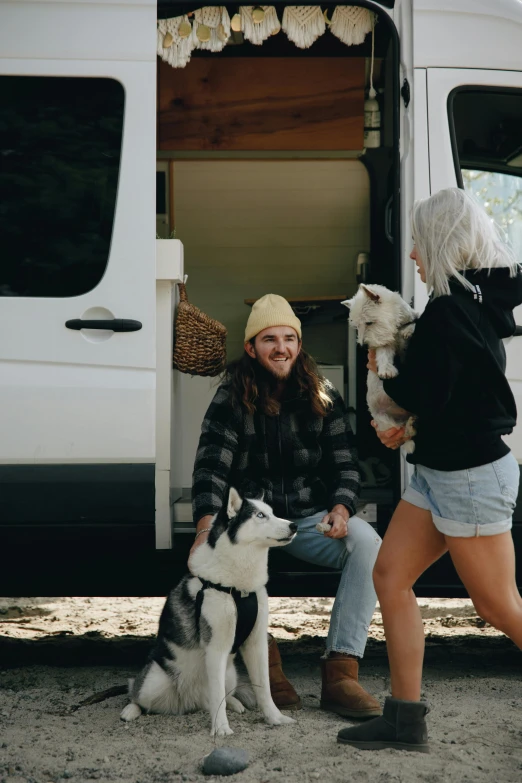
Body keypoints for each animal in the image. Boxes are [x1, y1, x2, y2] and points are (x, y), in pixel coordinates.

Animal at [342, 284, 418, 454]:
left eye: (369, 322)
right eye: (356, 326)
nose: (364, 346)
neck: (395, 326)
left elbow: (414, 321)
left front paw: (408, 330)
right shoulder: (385, 343)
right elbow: (384, 354)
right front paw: (386, 371)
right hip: (383, 420)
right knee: (403, 434)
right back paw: (410, 427)